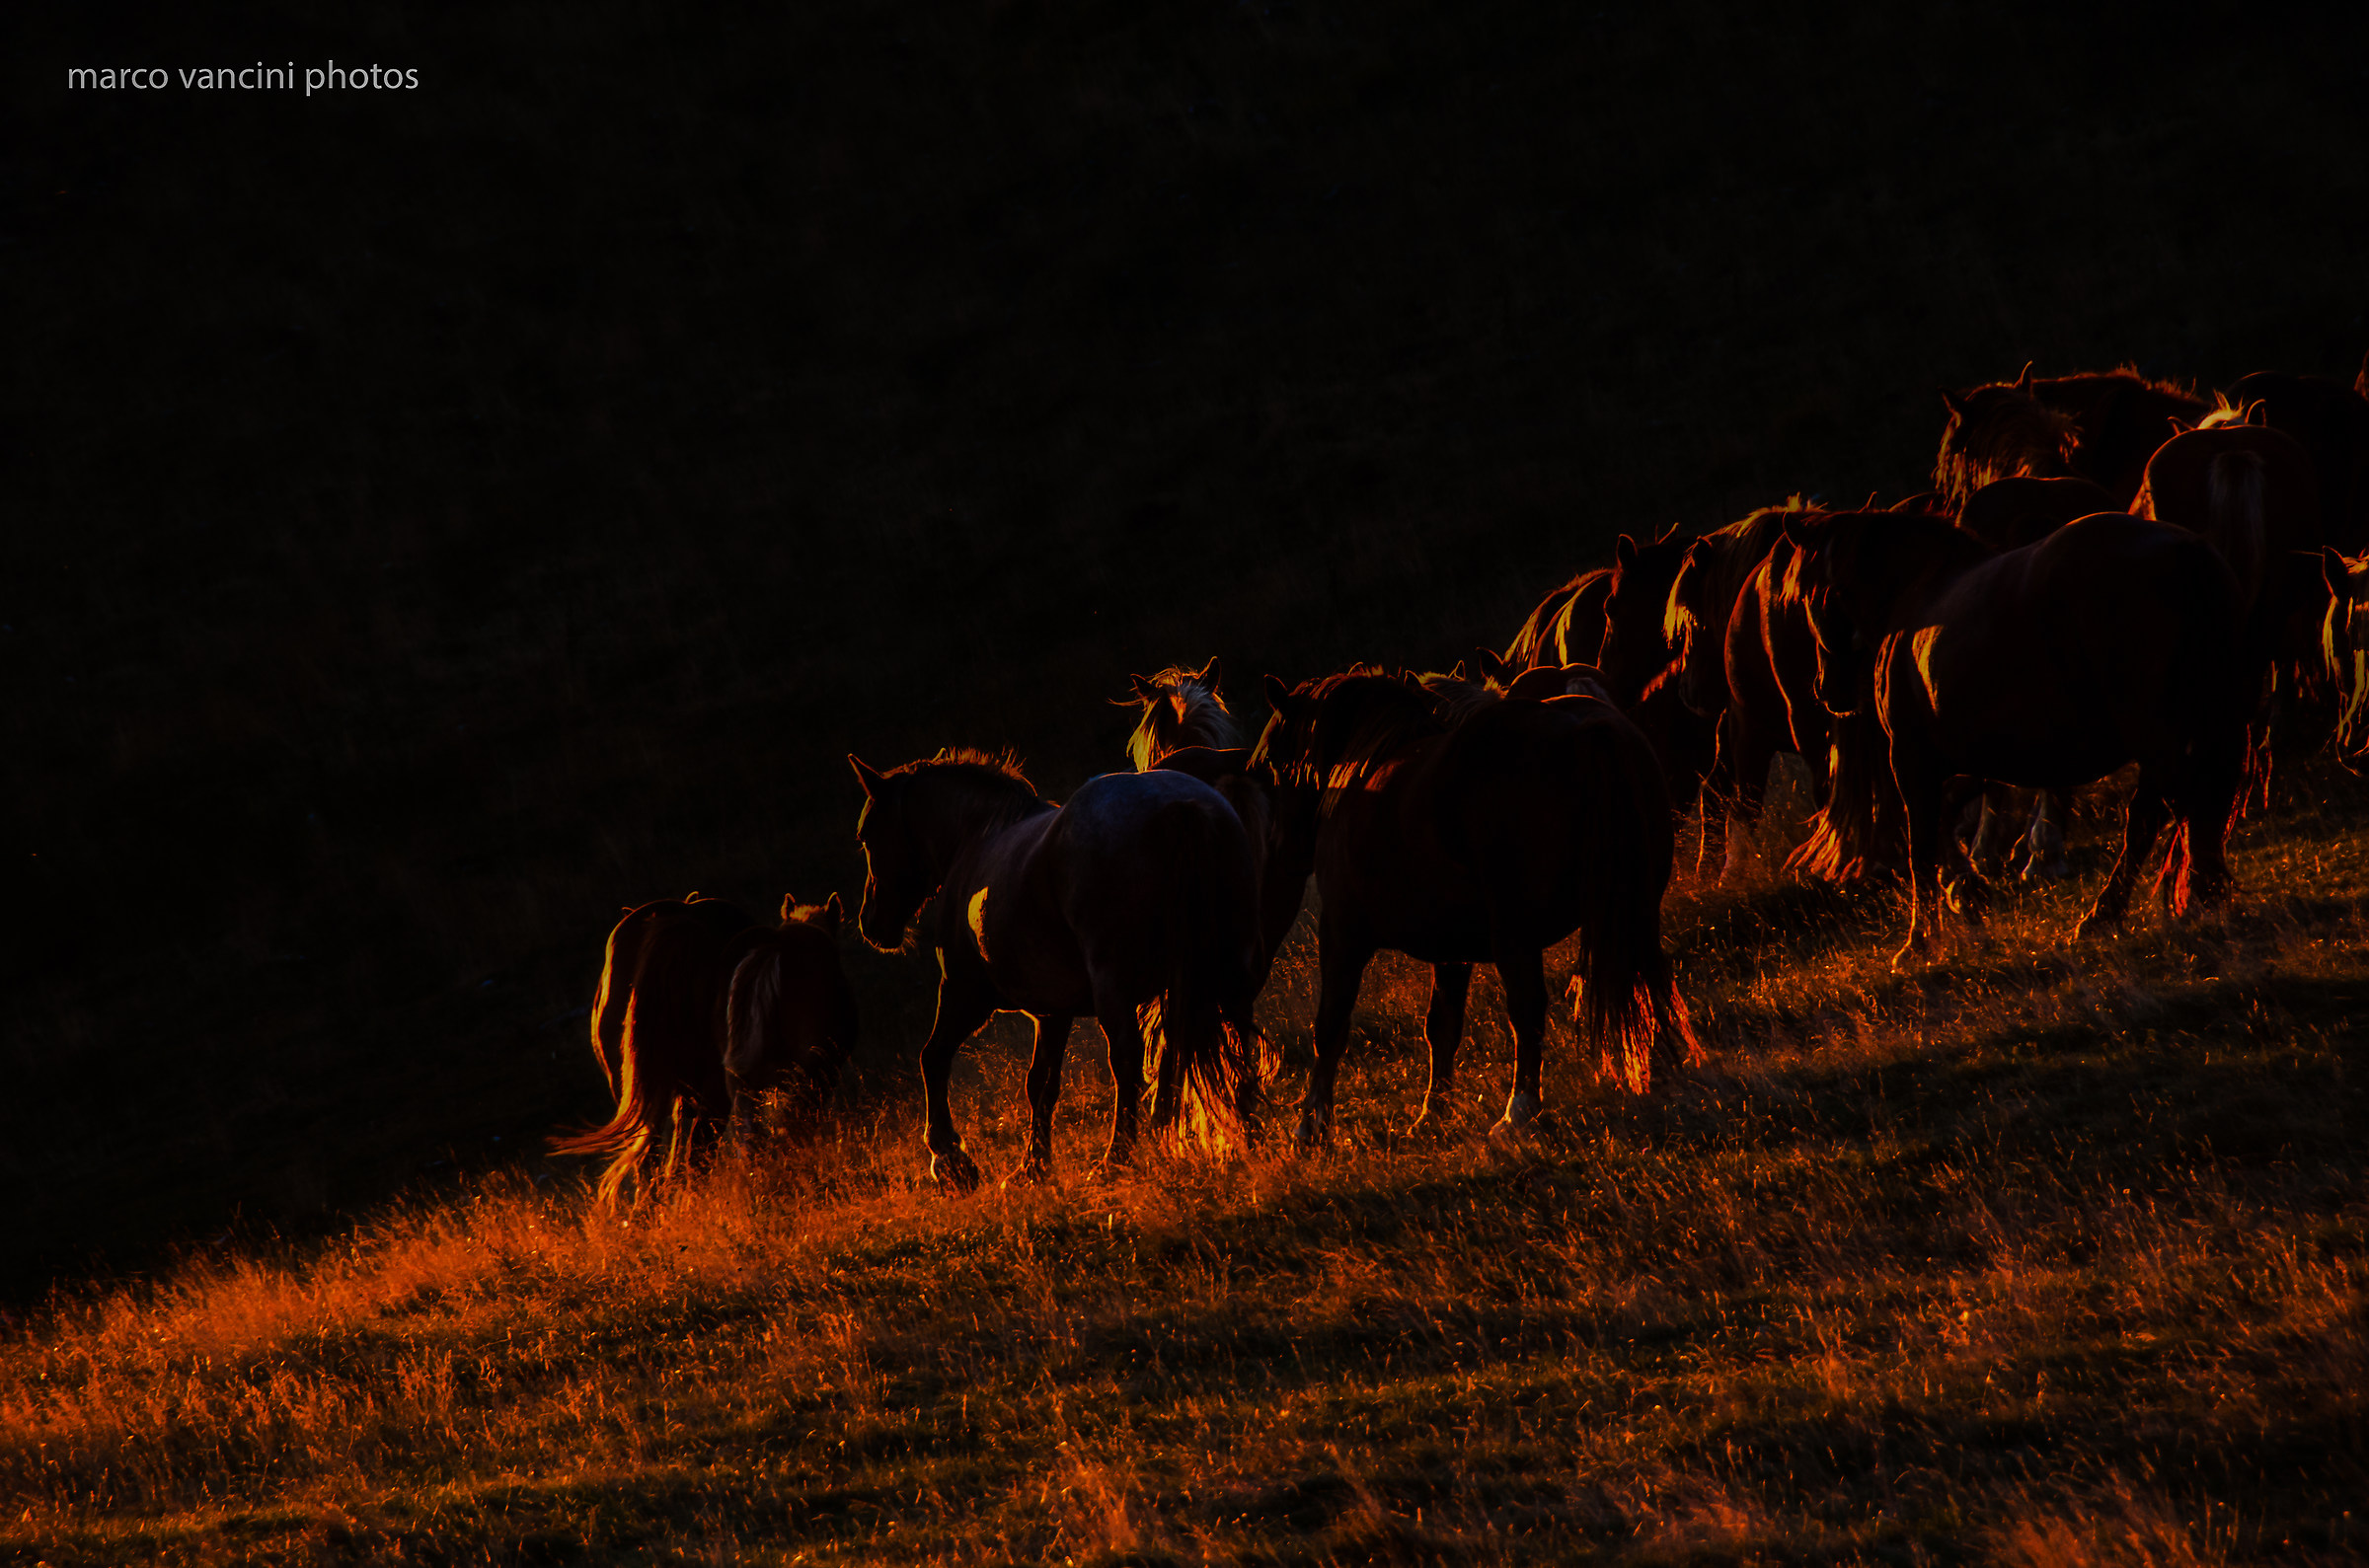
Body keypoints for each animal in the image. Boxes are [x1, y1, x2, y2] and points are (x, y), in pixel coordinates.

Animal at [848, 749, 1263, 1189]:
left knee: (1127, 1061)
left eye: (866, 835)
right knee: (1238, 1044)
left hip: (1115, 988)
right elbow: (1041, 1084)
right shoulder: (1052, 1012)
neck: (979, 837)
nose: (871, 923)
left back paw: (1116, 1157)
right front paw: (1033, 1165)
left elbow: (933, 1059)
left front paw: (949, 1158)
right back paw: (1249, 1135)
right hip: (1229, 975)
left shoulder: (964, 993)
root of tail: (1181, 807)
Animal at [1251, 668, 1697, 1143]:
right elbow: (1442, 1026)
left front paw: (1311, 1122)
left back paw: (1519, 1111)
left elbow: (1330, 1027)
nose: (1280, 850)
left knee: (1528, 1009)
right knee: (1649, 985)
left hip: (1516, 936)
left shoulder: (1342, 934)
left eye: (1273, 762)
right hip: (1636, 911)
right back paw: (1659, 1077)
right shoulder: (1451, 950)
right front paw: (1433, 1112)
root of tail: (1585, 729)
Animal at [1780, 509, 2247, 965]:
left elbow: (1922, 846)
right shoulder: (1976, 757)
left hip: (2155, 737)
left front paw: (1920, 941)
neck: (1917, 594)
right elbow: (1949, 817)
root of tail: (2186, 552)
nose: (1827, 689)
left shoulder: (1913, 758)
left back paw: (2166, 904)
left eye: (1806, 597)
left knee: (2168, 814)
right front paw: (1967, 892)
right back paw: (2158, 905)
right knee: (2174, 815)